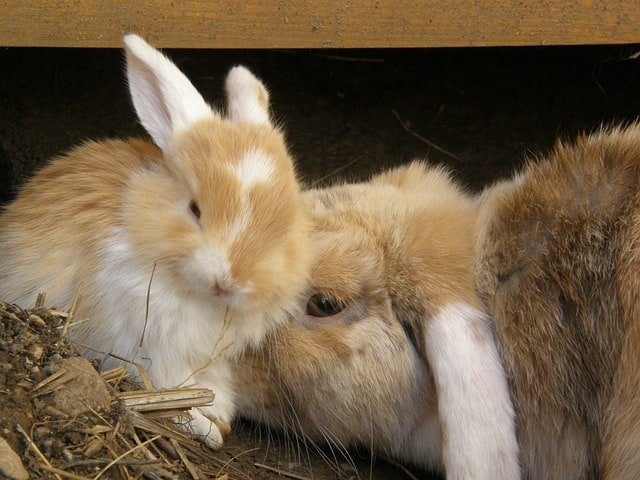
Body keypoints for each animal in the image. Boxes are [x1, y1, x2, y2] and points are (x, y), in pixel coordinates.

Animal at [0, 34, 311, 448]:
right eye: (195, 209)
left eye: (284, 222)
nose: (232, 280)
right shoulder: (148, 349)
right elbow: (170, 391)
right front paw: (207, 428)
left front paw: (219, 412)